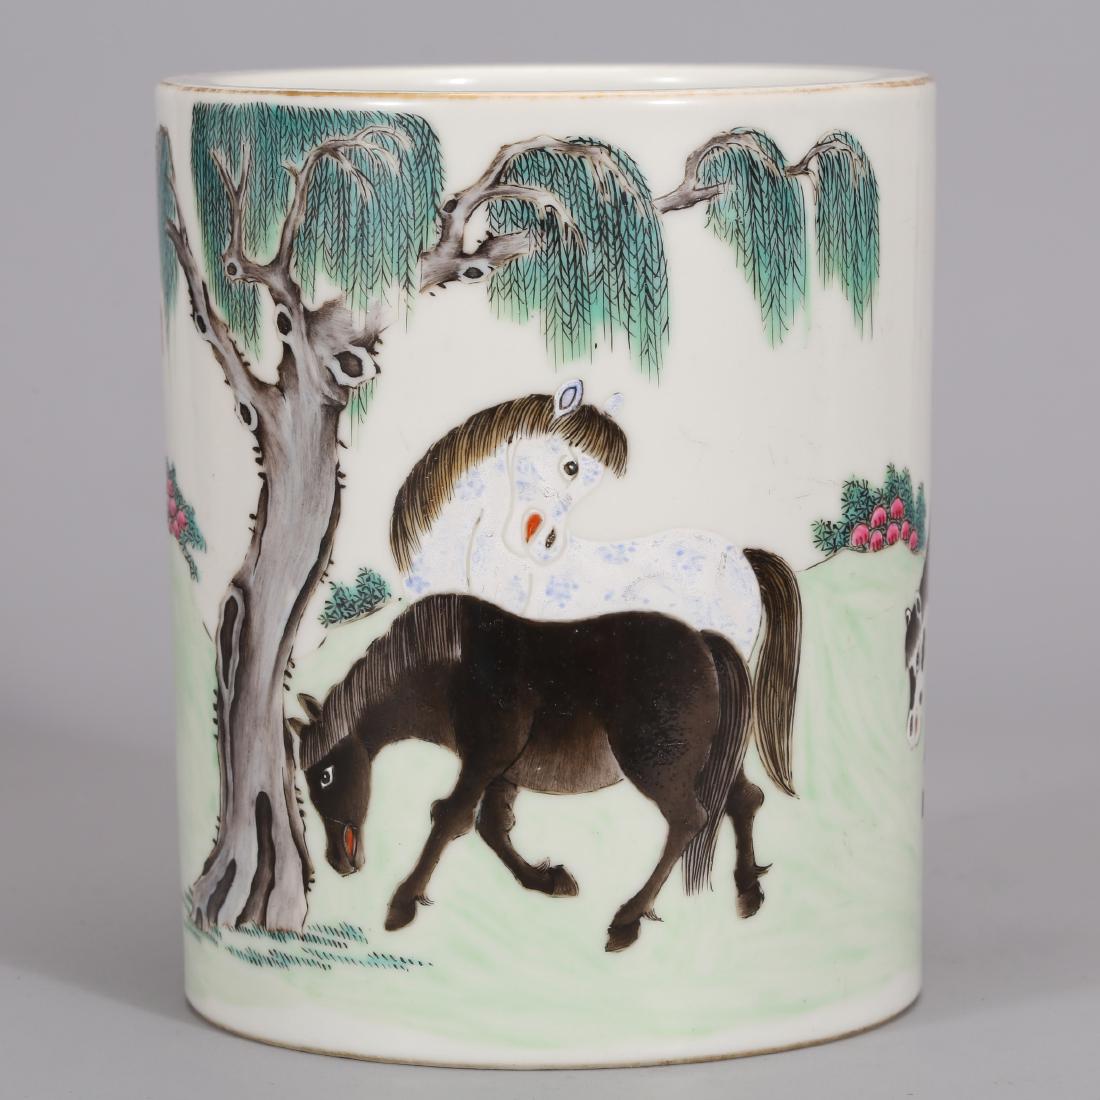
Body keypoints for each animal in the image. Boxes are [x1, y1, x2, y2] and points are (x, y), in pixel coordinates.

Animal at [294, 592, 780, 952]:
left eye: (325, 776)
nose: (337, 861)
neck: (446, 665)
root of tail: (703, 642)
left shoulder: (485, 758)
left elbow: (449, 819)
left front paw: (402, 902)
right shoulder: (500, 771)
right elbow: (491, 828)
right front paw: (548, 880)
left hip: (659, 767)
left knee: (689, 821)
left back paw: (627, 918)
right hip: (705, 764)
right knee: (745, 800)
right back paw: (747, 891)